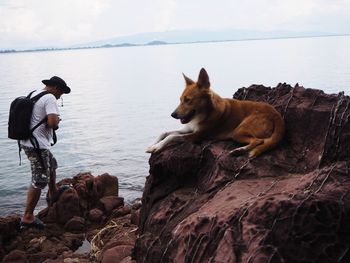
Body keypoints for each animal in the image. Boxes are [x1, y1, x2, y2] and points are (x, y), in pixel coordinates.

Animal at [145, 68, 284, 159]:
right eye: (180, 99)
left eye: (188, 100)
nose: (173, 115)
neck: (203, 113)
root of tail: (276, 114)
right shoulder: (188, 128)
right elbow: (165, 133)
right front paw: (152, 145)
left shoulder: (197, 135)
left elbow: (172, 136)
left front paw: (157, 147)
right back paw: (239, 150)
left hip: (238, 130)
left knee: (258, 141)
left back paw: (239, 150)